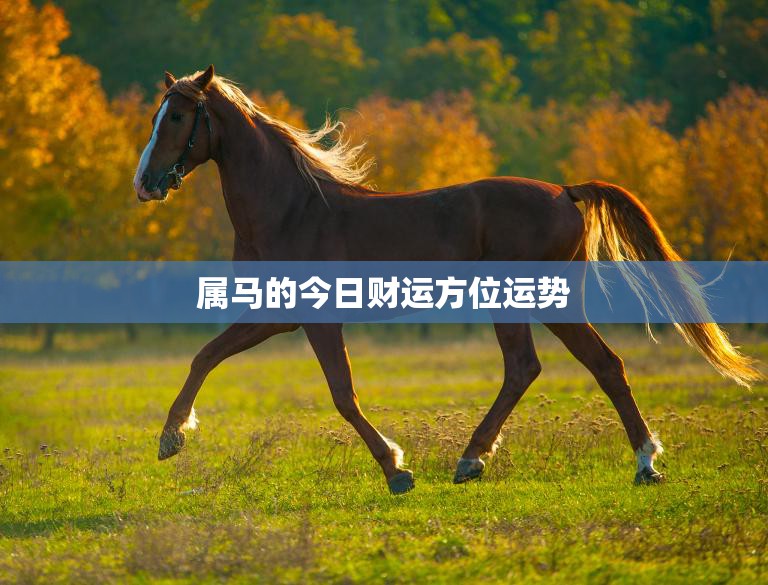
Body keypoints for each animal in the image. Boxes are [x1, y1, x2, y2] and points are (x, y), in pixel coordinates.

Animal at [133, 65, 760, 494]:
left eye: (179, 117)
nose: (144, 183)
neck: (292, 209)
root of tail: (566, 192)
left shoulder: (315, 319)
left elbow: (342, 394)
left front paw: (396, 470)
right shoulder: (275, 314)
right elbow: (206, 356)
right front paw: (172, 437)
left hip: (532, 303)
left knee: (562, 366)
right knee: (567, 367)